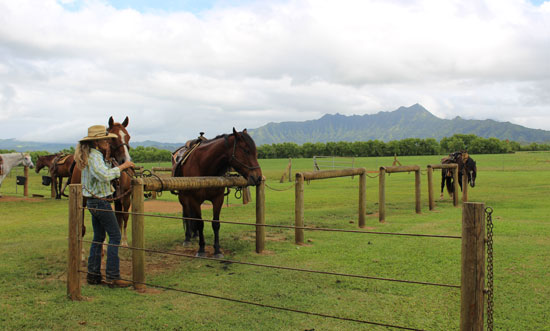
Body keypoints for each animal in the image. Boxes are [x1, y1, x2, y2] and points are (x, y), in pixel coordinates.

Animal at [175, 128, 266, 258]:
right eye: (246, 150)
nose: (258, 177)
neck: (204, 166)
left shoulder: (218, 199)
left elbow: (216, 224)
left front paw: (217, 250)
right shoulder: (195, 200)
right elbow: (200, 223)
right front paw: (201, 249)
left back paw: (195, 235)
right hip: (184, 197)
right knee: (187, 215)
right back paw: (187, 238)